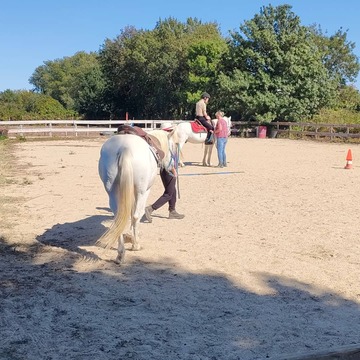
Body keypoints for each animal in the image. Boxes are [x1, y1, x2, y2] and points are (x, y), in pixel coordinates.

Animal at [95, 129, 175, 264]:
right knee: (136, 215)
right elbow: (135, 214)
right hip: (141, 191)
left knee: (118, 217)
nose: (172, 167)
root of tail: (124, 148)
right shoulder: (144, 191)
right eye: (173, 147)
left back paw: (120, 255)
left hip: (112, 191)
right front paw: (133, 239)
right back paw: (136, 245)